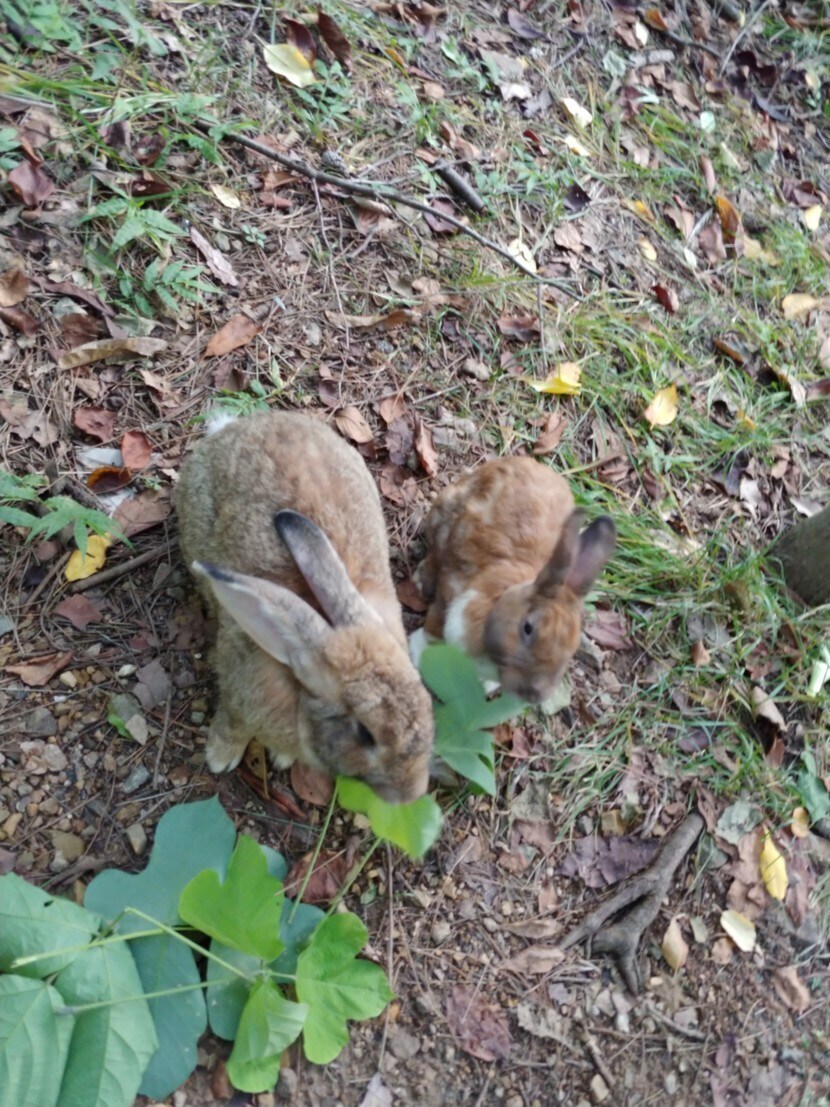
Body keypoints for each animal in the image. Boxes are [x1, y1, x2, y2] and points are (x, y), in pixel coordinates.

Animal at [176, 409, 434, 805]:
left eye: (426, 701)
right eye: (365, 733)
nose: (412, 794)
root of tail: (232, 429)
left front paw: (281, 757)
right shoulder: (237, 695)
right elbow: (232, 725)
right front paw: (220, 757)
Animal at [415, 456, 616, 704]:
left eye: (572, 648)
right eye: (528, 628)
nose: (535, 694)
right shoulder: (450, 591)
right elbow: (434, 626)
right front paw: (418, 653)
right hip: (442, 517)